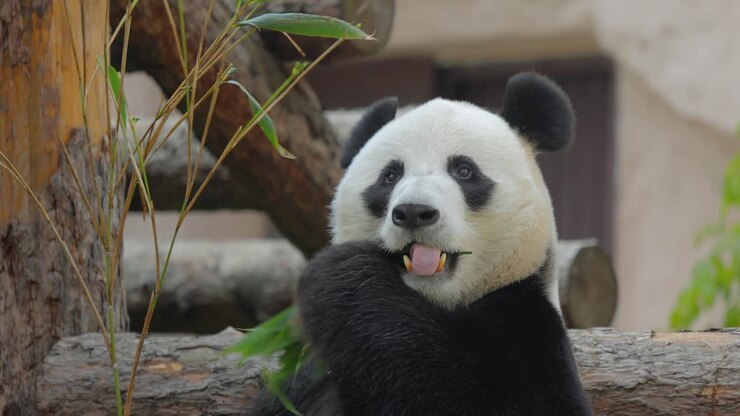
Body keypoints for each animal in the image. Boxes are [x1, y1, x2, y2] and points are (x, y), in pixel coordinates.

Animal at [253, 72, 593, 416]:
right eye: (390, 175)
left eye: (464, 170)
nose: (414, 212)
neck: (430, 300)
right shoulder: (308, 375)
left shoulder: (527, 323)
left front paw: (342, 272)